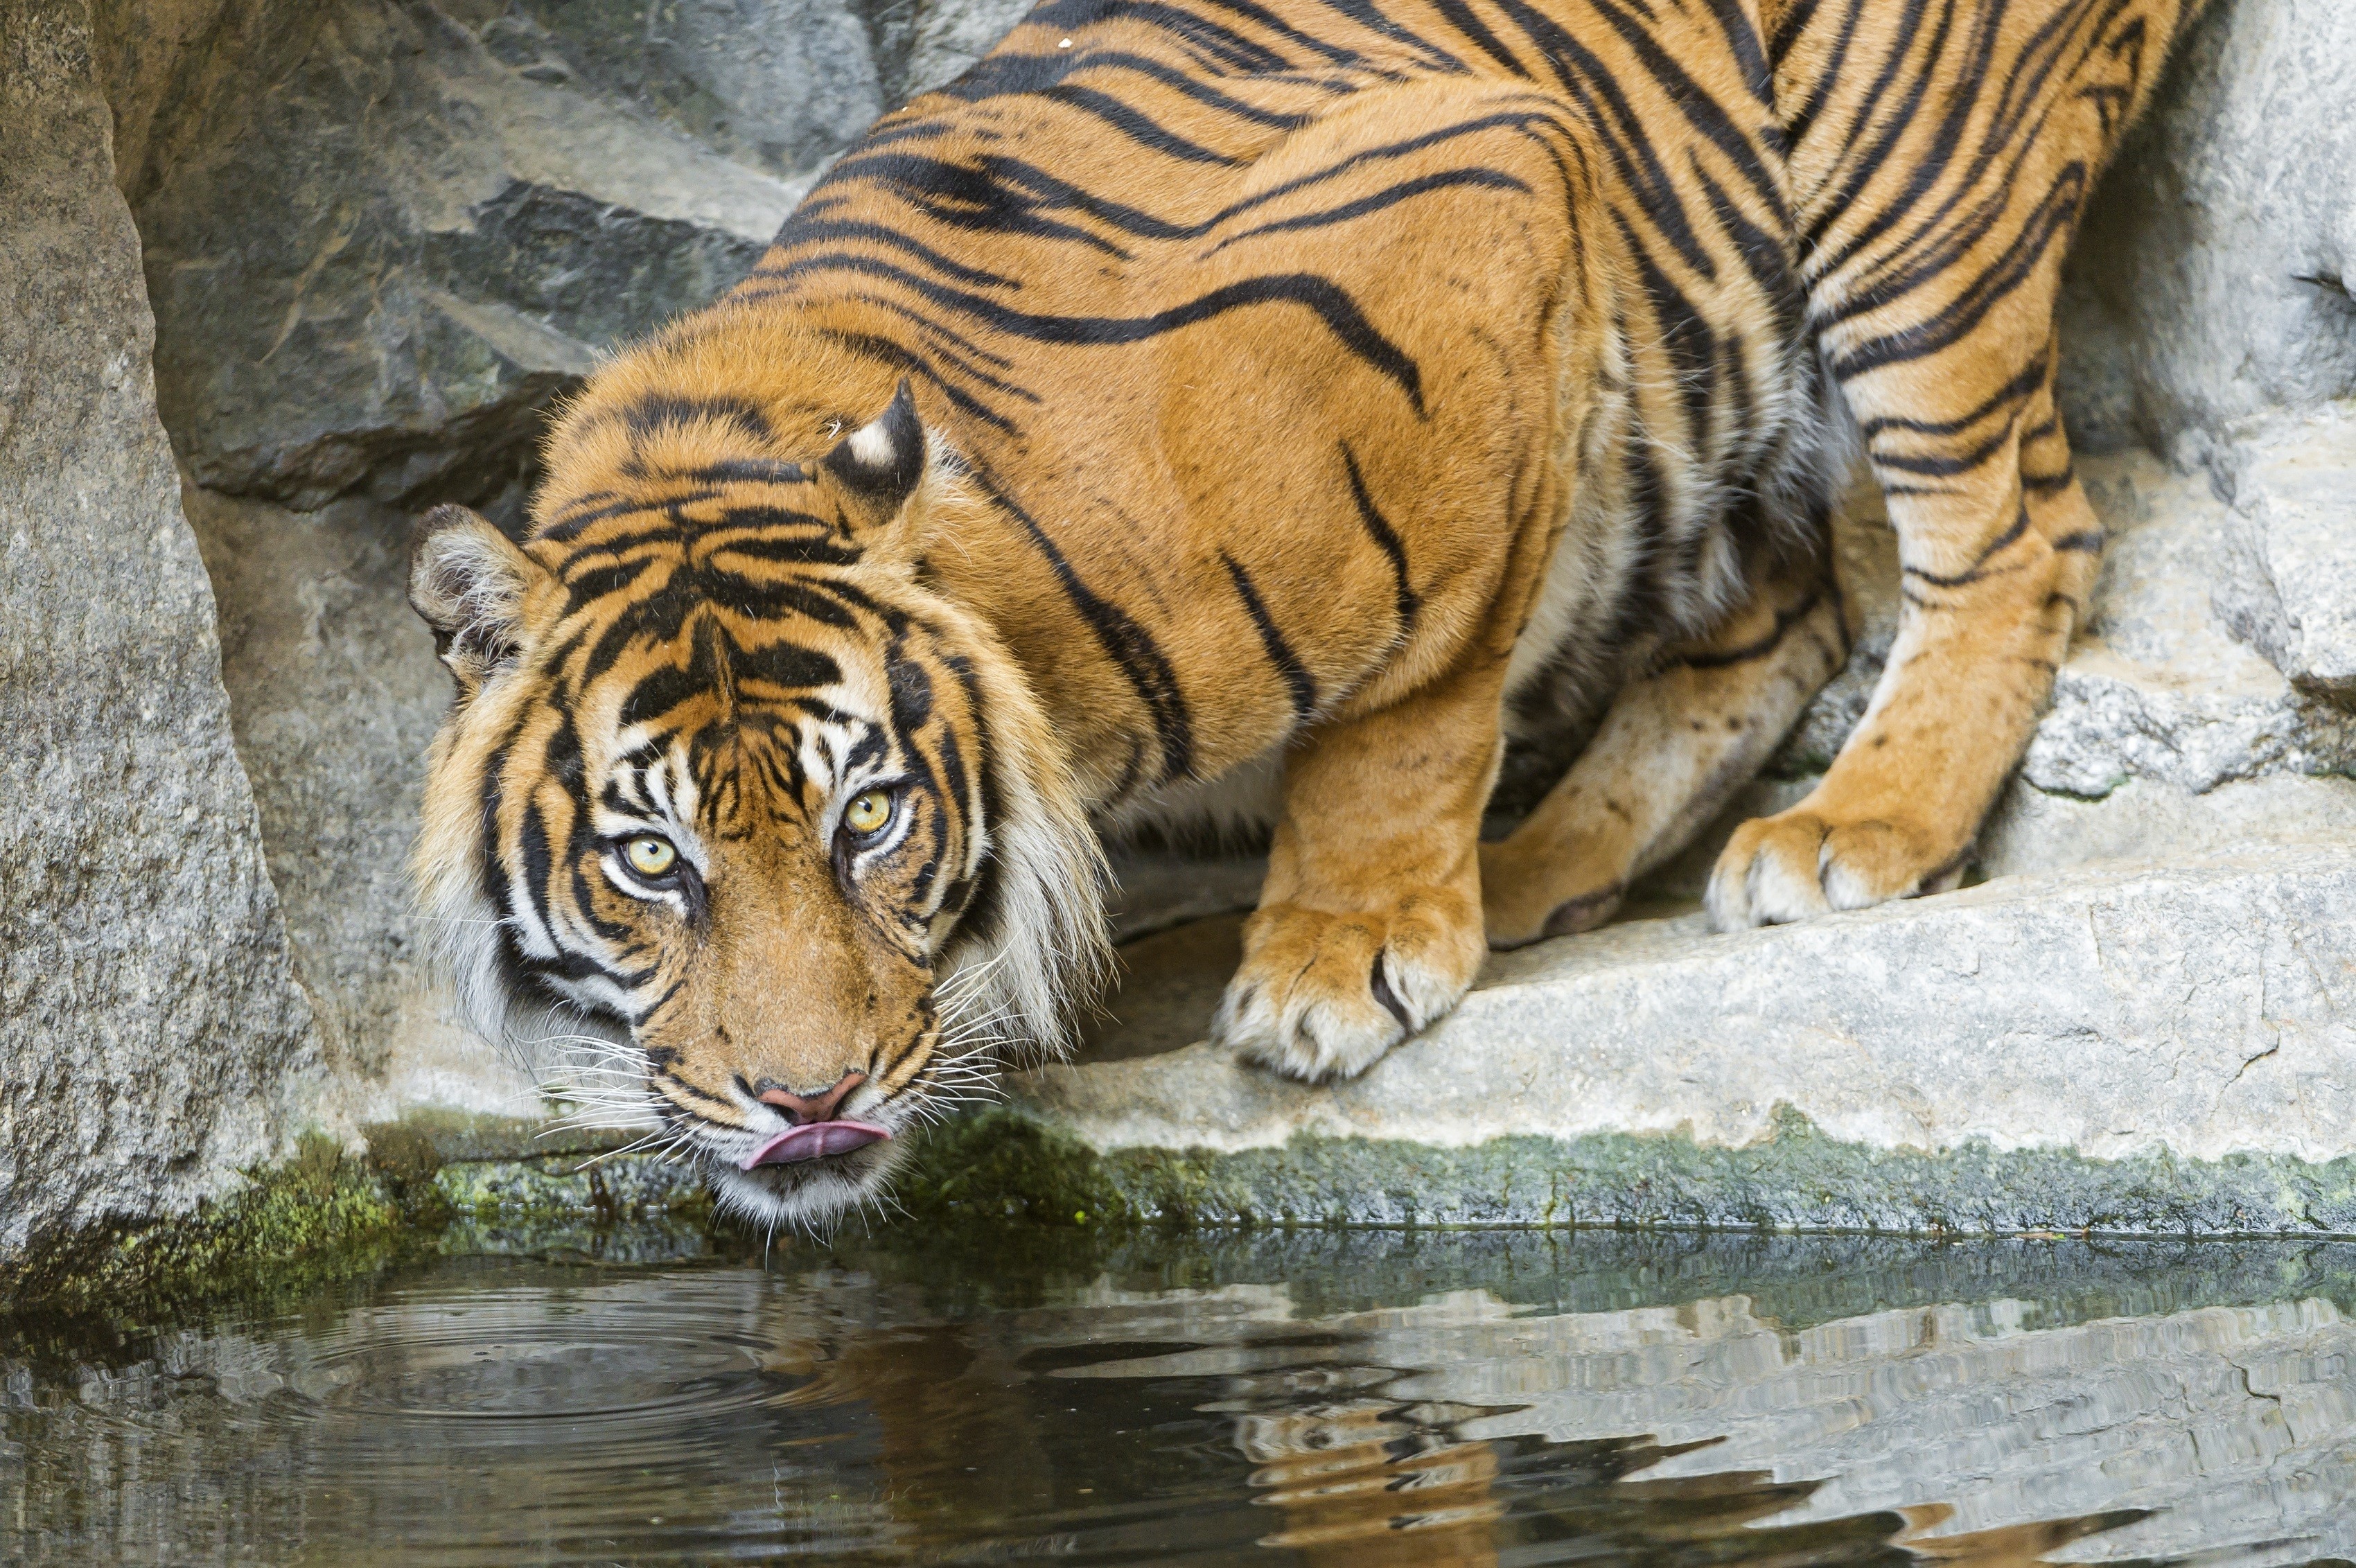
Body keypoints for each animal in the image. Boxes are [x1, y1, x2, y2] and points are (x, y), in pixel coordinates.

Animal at [410, 0, 2208, 1227]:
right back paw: (1537, 863)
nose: (808, 1097)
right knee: (1784, 607)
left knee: (2017, 532)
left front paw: (1338, 962)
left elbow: (1408, 705)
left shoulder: (1485, 200)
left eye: (869, 819)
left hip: (1908, 200)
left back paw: (1856, 828)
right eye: (653, 859)